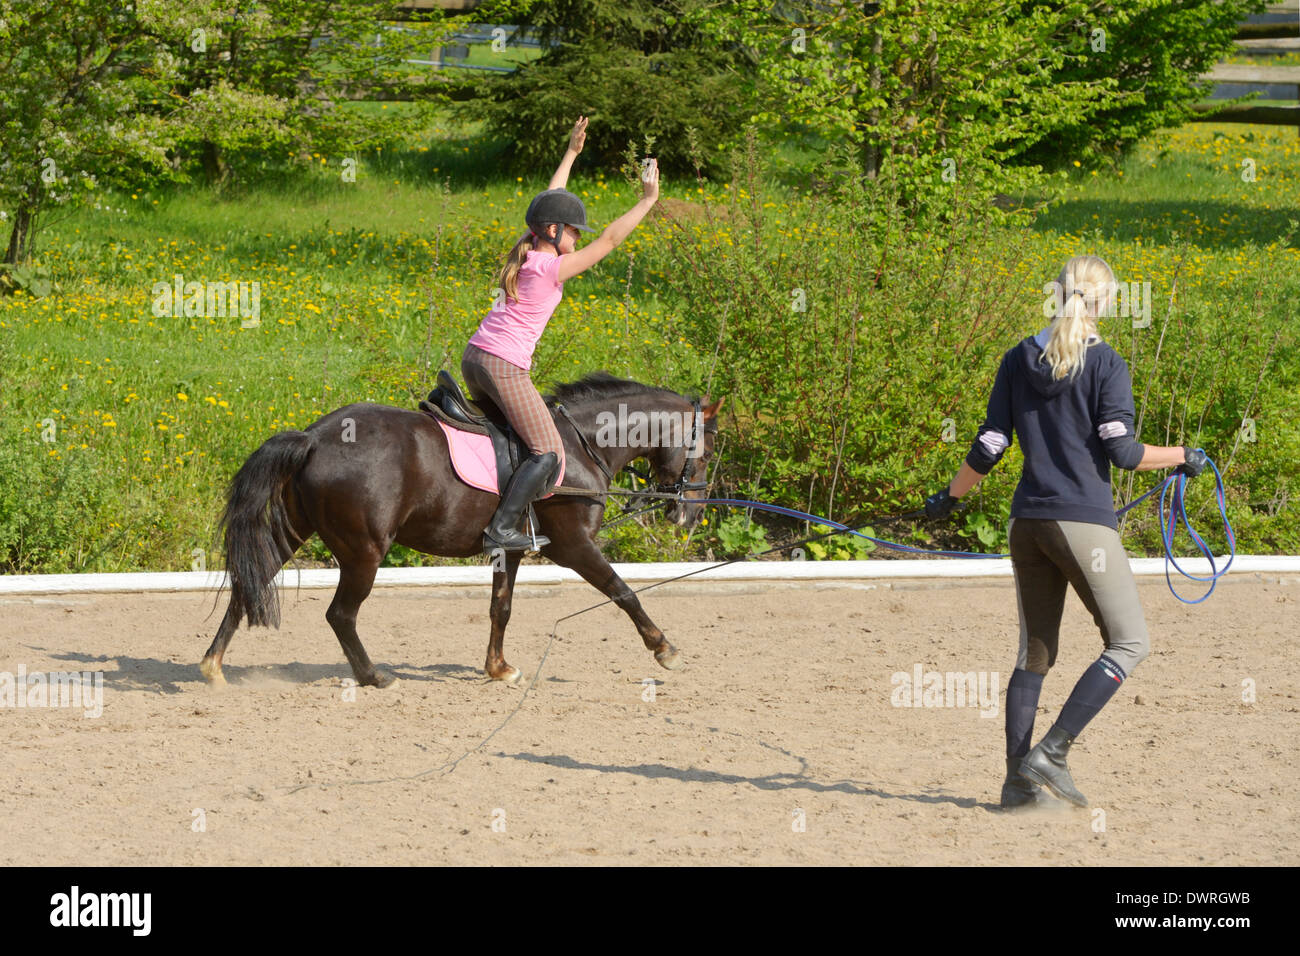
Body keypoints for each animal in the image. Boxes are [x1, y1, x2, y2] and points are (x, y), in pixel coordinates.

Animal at [199, 373, 722, 687]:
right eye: (705, 450)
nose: (689, 515)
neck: (579, 446)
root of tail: (313, 436)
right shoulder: (573, 545)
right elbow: (622, 591)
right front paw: (665, 649)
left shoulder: (511, 548)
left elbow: (501, 608)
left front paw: (499, 668)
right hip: (364, 551)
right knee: (340, 614)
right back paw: (374, 676)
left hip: (296, 530)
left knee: (251, 581)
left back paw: (213, 666)